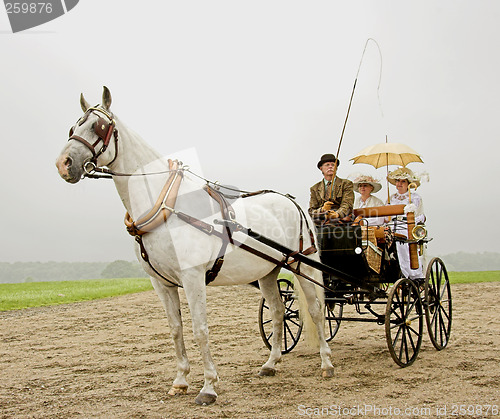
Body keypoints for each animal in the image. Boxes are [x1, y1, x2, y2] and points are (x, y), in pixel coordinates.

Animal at [55, 87, 332, 406]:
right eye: (73, 127)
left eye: (98, 126)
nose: (63, 164)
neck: (166, 207)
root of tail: (290, 200)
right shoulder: (161, 283)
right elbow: (176, 330)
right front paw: (180, 381)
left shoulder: (193, 277)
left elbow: (200, 329)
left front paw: (208, 386)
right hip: (267, 271)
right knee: (277, 312)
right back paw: (271, 363)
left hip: (301, 264)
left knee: (315, 309)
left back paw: (326, 363)